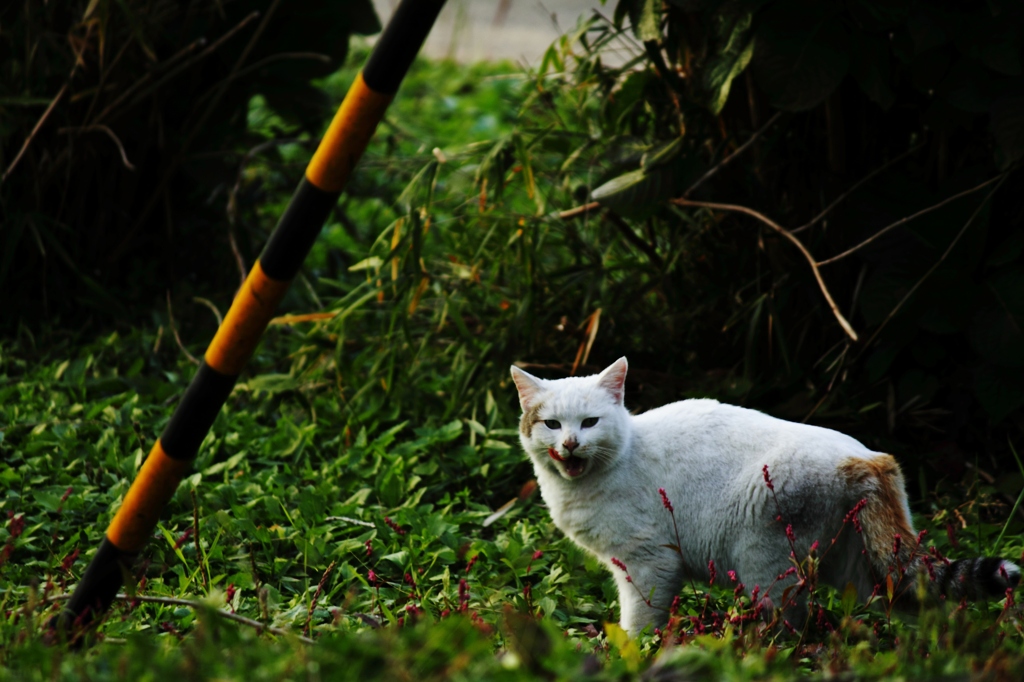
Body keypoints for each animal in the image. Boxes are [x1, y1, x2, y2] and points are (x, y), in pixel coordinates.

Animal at [509, 356, 1015, 630]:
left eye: (590, 422)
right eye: (551, 424)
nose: (570, 444)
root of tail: (865, 457)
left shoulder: (649, 563)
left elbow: (640, 622)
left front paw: (633, 655)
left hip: (765, 564)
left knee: (790, 631)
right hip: (863, 567)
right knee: (924, 605)